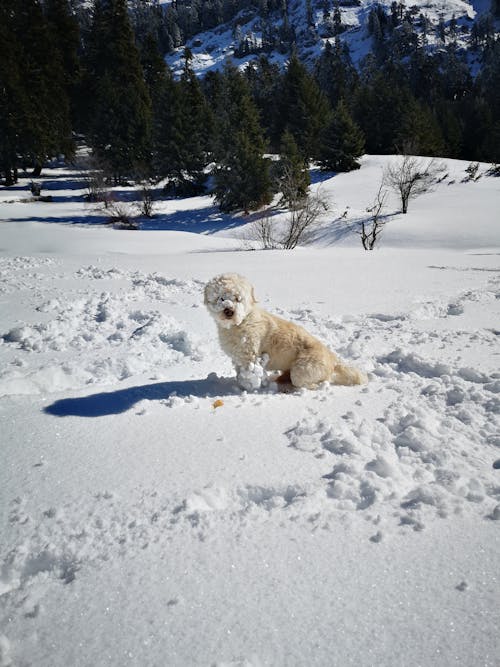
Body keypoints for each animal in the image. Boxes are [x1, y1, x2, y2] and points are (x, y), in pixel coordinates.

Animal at [204, 272, 368, 392]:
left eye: (238, 299)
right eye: (221, 298)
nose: (229, 310)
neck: (240, 322)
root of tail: (333, 360)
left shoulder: (250, 356)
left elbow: (249, 374)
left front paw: (249, 387)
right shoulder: (238, 357)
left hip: (302, 369)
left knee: (311, 382)